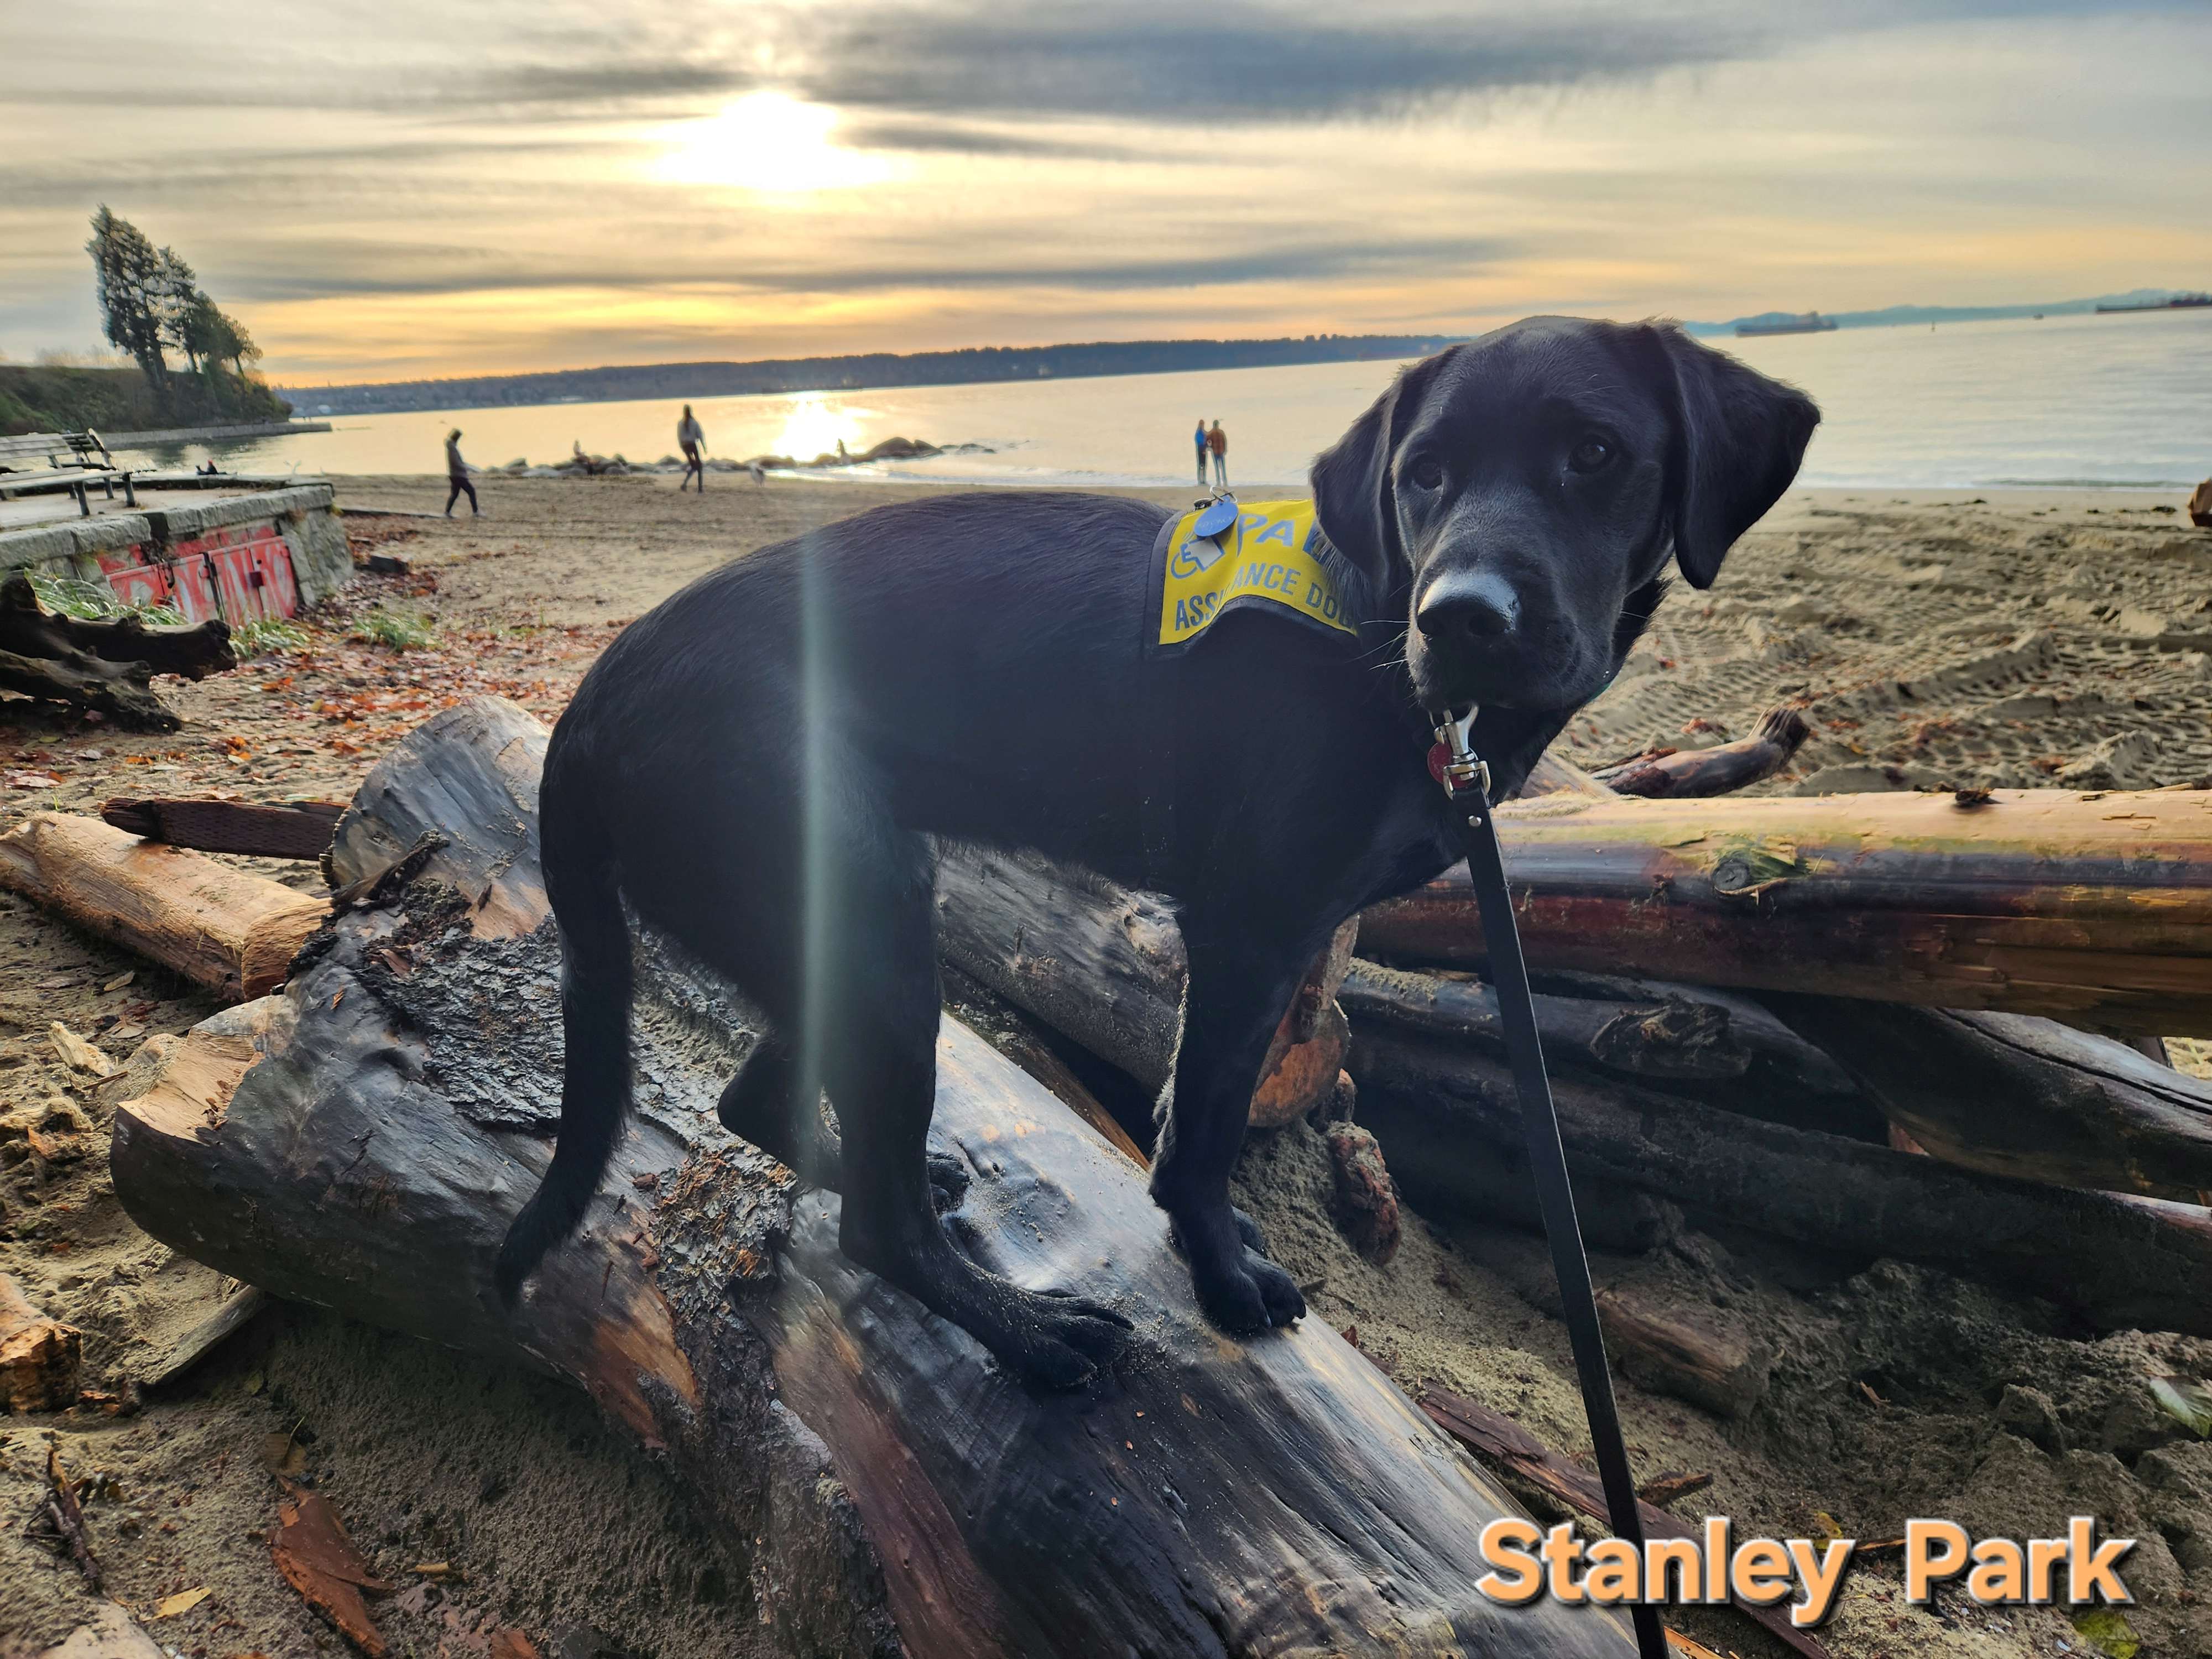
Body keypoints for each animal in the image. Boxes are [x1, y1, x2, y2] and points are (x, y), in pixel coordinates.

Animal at [497, 317, 1818, 1388]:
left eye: (1594, 454)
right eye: (1421, 475)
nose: (1461, 619)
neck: (1379, 635)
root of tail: (587, 707)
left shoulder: (1280, 944)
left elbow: (1194, 1107)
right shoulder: (1250, 929)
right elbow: (1205, 1135)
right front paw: (1223, 1280)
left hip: (855, 908)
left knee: (762, 1101)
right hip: (868, 929)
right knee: (870, 1216)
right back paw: (1024, 1333)